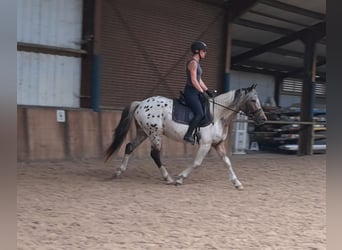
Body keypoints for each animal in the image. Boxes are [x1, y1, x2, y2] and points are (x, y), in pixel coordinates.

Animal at [104, 84, 268, 189]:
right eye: (253, 100)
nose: (263, 119)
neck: (218, 115)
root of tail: (141, 103)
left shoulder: (217, 144)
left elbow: (227, 162)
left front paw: (237, 183)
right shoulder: (206, 144)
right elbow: (196, 163)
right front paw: (180, 178)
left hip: (143, 132)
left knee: (129, 147)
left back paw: (119, 172)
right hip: (155, 133)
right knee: (155, 154)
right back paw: (168, 178)